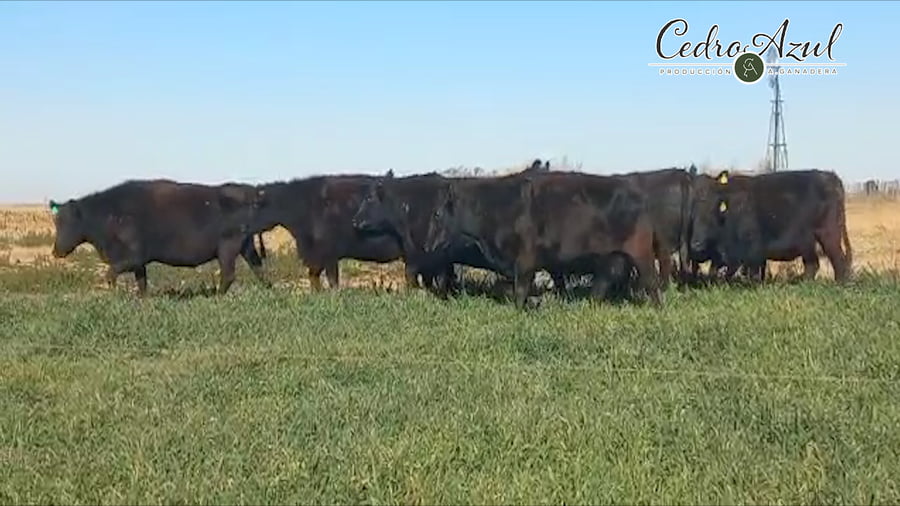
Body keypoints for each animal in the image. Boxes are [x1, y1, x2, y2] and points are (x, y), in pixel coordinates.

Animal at [48, 179, 269, 295]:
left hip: (228, 248)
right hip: (246, 246)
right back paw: (270, 290)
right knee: (258, 268)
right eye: (56, 222)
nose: (56, 251)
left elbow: (110, 274)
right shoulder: (138, 263)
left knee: (229, 274)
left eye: (67, 223)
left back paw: (216, 296)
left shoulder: (132, 257)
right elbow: (142, 282)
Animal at [423, 171, 662, 309]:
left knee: (651, 280)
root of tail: (638, 194)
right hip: (613, 255)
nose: (426, 245)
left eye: (437, 214)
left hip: (640, 250)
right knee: (606, 278)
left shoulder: (525, 259)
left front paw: (522, 309)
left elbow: (519, 290)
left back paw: (657, 308)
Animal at [689, 169, 853, 283]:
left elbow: (751, 273)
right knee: (813, 265)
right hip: (808, 243)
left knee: (839, 262)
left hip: (828, 235)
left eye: (712, 210)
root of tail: (830, 176)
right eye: (693, 213)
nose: (696, 244)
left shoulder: (751, 248)